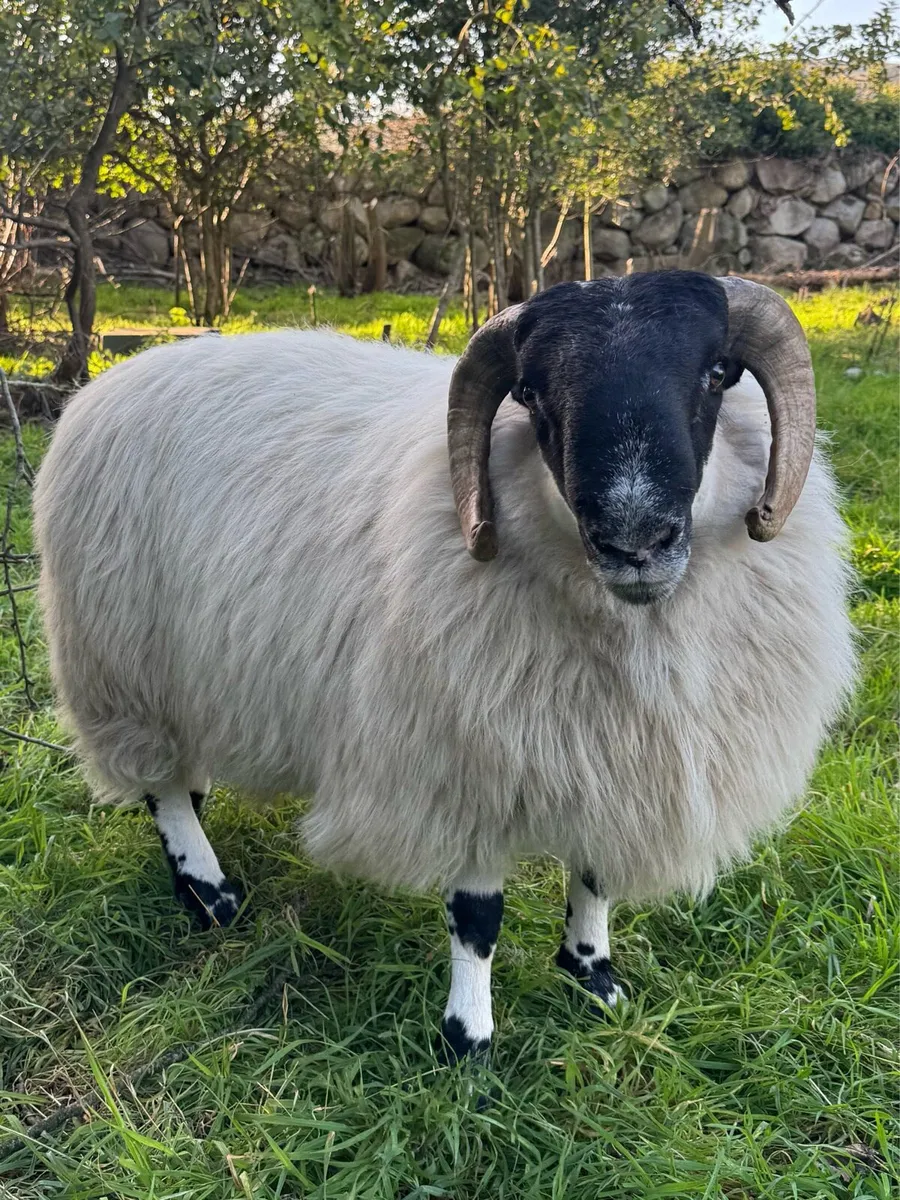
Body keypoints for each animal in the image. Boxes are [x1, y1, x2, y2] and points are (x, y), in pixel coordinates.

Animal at [33, 272, 855, 1062]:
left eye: (718, 373)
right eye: (530, 394)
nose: (635, 540)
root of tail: (115, 376)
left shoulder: (609, 760)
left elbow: (593, 872)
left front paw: (592, 977)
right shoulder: (460, 767)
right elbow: (478, 918)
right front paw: (469, 1043)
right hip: (122, 666)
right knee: (162, 788)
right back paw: (210, 893)